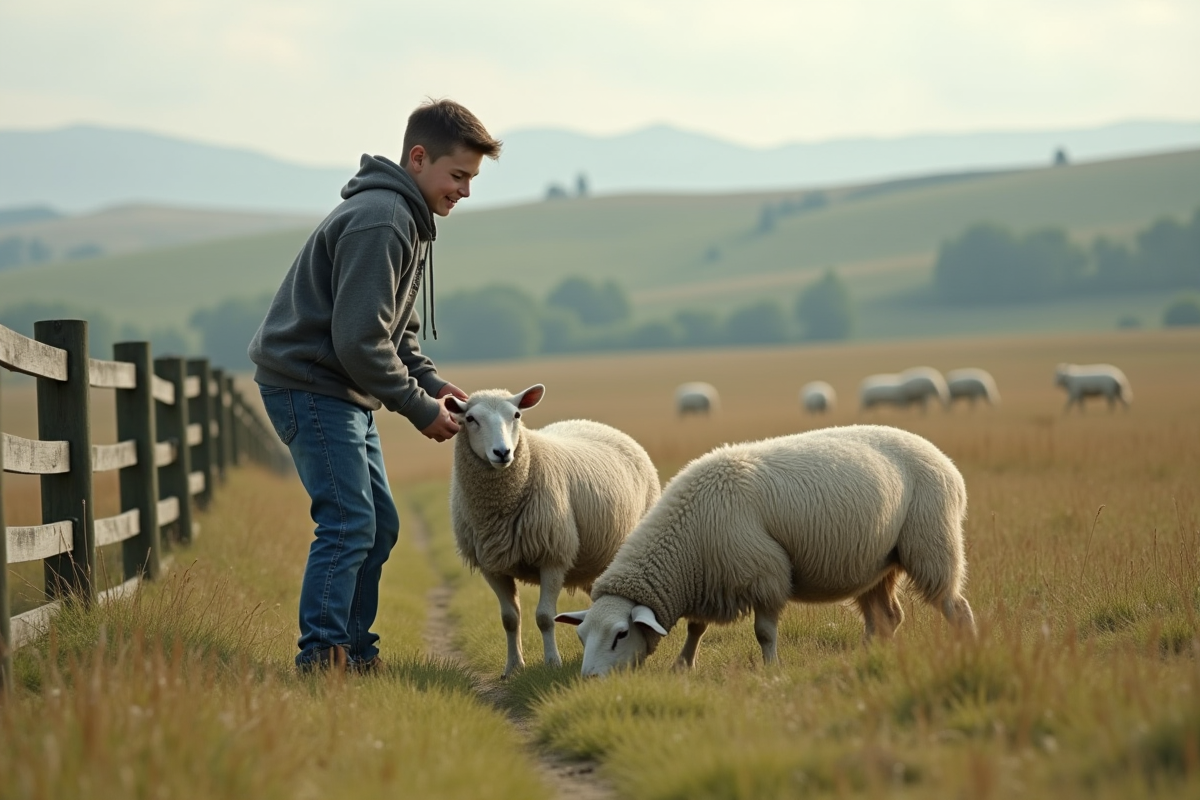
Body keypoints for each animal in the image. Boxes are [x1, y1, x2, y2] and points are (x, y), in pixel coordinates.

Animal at [446, 384, 661, 678]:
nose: (502, 452)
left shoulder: (553, 557)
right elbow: (510, 619)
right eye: (470, 419)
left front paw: (552, 663)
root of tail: (597, 424)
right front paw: (513, 667)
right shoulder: (491, 566)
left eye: (516, 415)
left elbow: (545, 617)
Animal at [556, 424, 976, 677]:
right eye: (581, 637)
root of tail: (945, 461)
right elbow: (696, 627)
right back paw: (867, 657)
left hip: (931, 544)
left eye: (621, 634)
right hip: (876, 563)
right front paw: (683, 665)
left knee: (955, 606)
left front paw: (772, 669)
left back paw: (967, 647)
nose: (590, 679)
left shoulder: (766, 574)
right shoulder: (711, 577)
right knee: (887, 617)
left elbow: (764, 633)